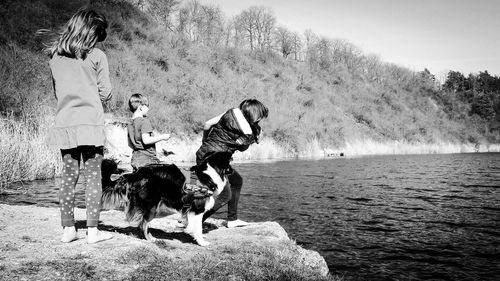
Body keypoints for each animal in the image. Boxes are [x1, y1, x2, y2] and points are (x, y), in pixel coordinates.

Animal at [104, 151, 233, 245]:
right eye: (229, 164)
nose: (232, 171)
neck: (209, 175)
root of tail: (136, 174)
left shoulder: (189, 209)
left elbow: (190, 225)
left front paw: (190, 234)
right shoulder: (197, 209)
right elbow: (198, 228)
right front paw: (201, 242)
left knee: (142, 224)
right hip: (152, 206)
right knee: (143, 224)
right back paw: (150, 239)